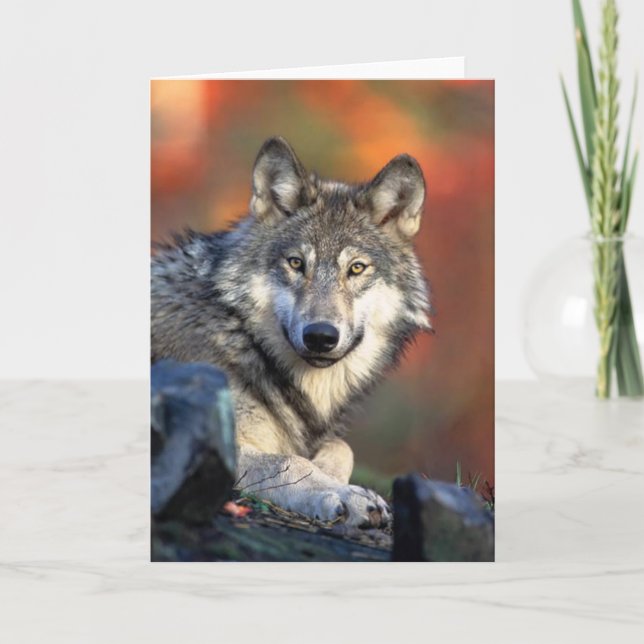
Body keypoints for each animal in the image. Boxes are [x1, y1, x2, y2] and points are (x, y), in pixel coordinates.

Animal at [151, 137, 432, 528]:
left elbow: (341, 448)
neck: (242, 337)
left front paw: (332, 474)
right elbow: (289, 461)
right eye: (297, 263)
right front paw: (344, 495)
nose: (320, 336)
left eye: (356, 268)